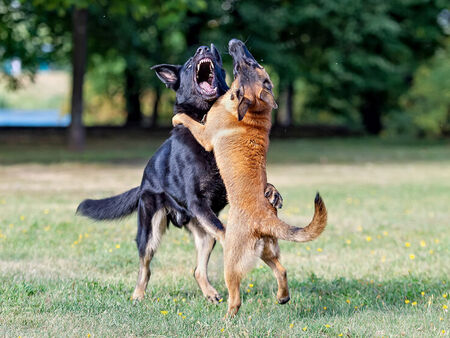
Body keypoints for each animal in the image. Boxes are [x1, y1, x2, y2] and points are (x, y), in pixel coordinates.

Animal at [77, 43, 282, 302]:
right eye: (189, 63)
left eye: (216, 58)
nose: (204, 47)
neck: (204, 116)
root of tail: (143, 182)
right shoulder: (197, 201)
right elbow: (225, 231)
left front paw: (272, 192)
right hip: (150, 230)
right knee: (145, 266)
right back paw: (138, 295)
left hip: (203, 233)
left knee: (197, 269)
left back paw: (210, 293)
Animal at [173, 39, 326, 316]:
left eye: (248, 64)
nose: (235, 42)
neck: (254, 111)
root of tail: (266, 219)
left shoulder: (205, 134)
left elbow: (190, 120)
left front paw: (178, 117)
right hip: (266, 251)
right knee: (282, 270)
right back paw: (282, 297)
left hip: (231, 260)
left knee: (236, 297)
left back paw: (227, 317)